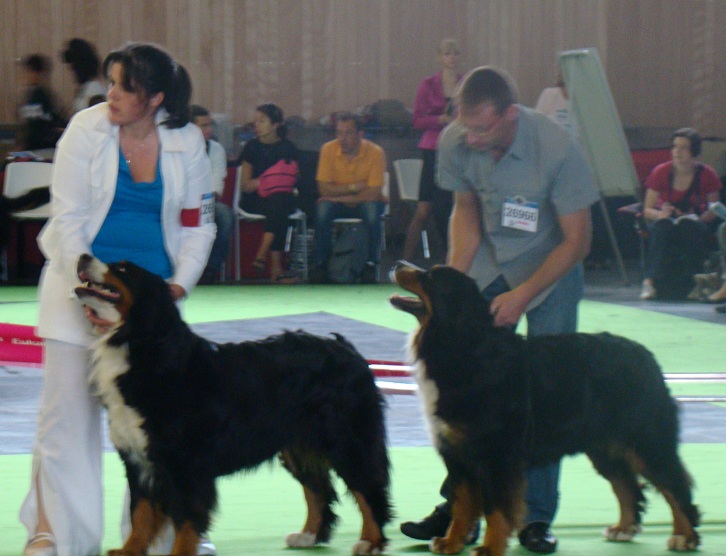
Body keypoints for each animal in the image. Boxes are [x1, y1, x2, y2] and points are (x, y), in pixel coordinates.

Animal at [74, 255, 392, 556]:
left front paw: (179, 551)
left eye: (123, 268)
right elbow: (140, 514)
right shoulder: (138, 459)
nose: (83, 256)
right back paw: (308, 535)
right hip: (298, 445)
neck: (139, 345)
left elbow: (186, 518)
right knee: (319, 489)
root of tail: (348, 348)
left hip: (346, 439)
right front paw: (128, 550)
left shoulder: (184, 464)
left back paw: (371, 541)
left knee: (368, 488)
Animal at [390, 262, 704, 552]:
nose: (398, 264)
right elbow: (462, 505)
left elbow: (496, 509)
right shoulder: (458, 452)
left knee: (674, 484)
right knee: (626, 484)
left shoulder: (496, 455)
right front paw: (451, 542)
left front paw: (490, 547)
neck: (461, 348)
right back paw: (624, 528)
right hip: (604, 446)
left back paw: (684, 536)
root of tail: (646, 355)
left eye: (430, 276)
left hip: (645, 440)